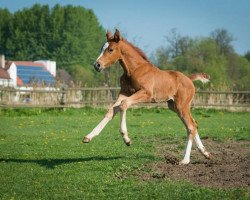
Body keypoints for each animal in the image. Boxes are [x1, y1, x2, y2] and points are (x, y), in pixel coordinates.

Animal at [84, 29, 211, 164]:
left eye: (111, 49)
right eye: (102, 48)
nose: (97, 65)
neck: (134, 70)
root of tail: (189, 79)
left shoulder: (146, 93)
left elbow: (124, 105)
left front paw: (127, 139)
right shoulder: (124, 92)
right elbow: (111, 111)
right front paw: (88, 137)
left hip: (182, 106)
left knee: (191, 126)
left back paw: (185, 160)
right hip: (174, 106)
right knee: (193, 124)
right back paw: (205, 153)